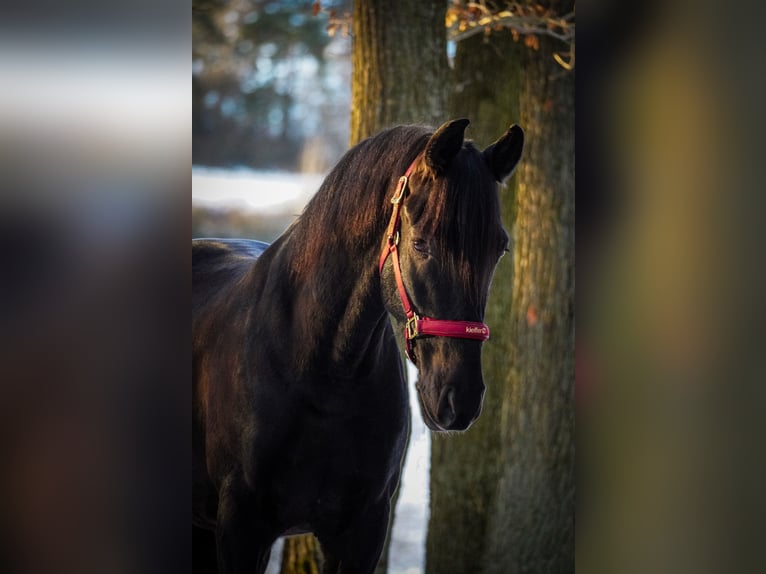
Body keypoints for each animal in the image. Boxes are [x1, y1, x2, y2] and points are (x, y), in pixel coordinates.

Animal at [195, 119, 524, 572]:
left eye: (499, 248)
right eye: (421, 243)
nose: (461, 398)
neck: (320, 372)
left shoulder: (362, 531)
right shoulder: (241, 531)